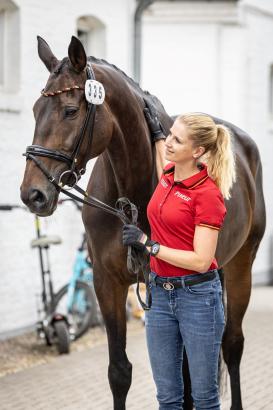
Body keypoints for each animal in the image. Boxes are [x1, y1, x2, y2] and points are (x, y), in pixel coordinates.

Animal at [20, 36, 264, 410]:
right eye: (34, 110)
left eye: (70, 111)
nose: (32, 194)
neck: (130, 191)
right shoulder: (107, 282)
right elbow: (121, 372)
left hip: (241, 265)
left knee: (231, 344)